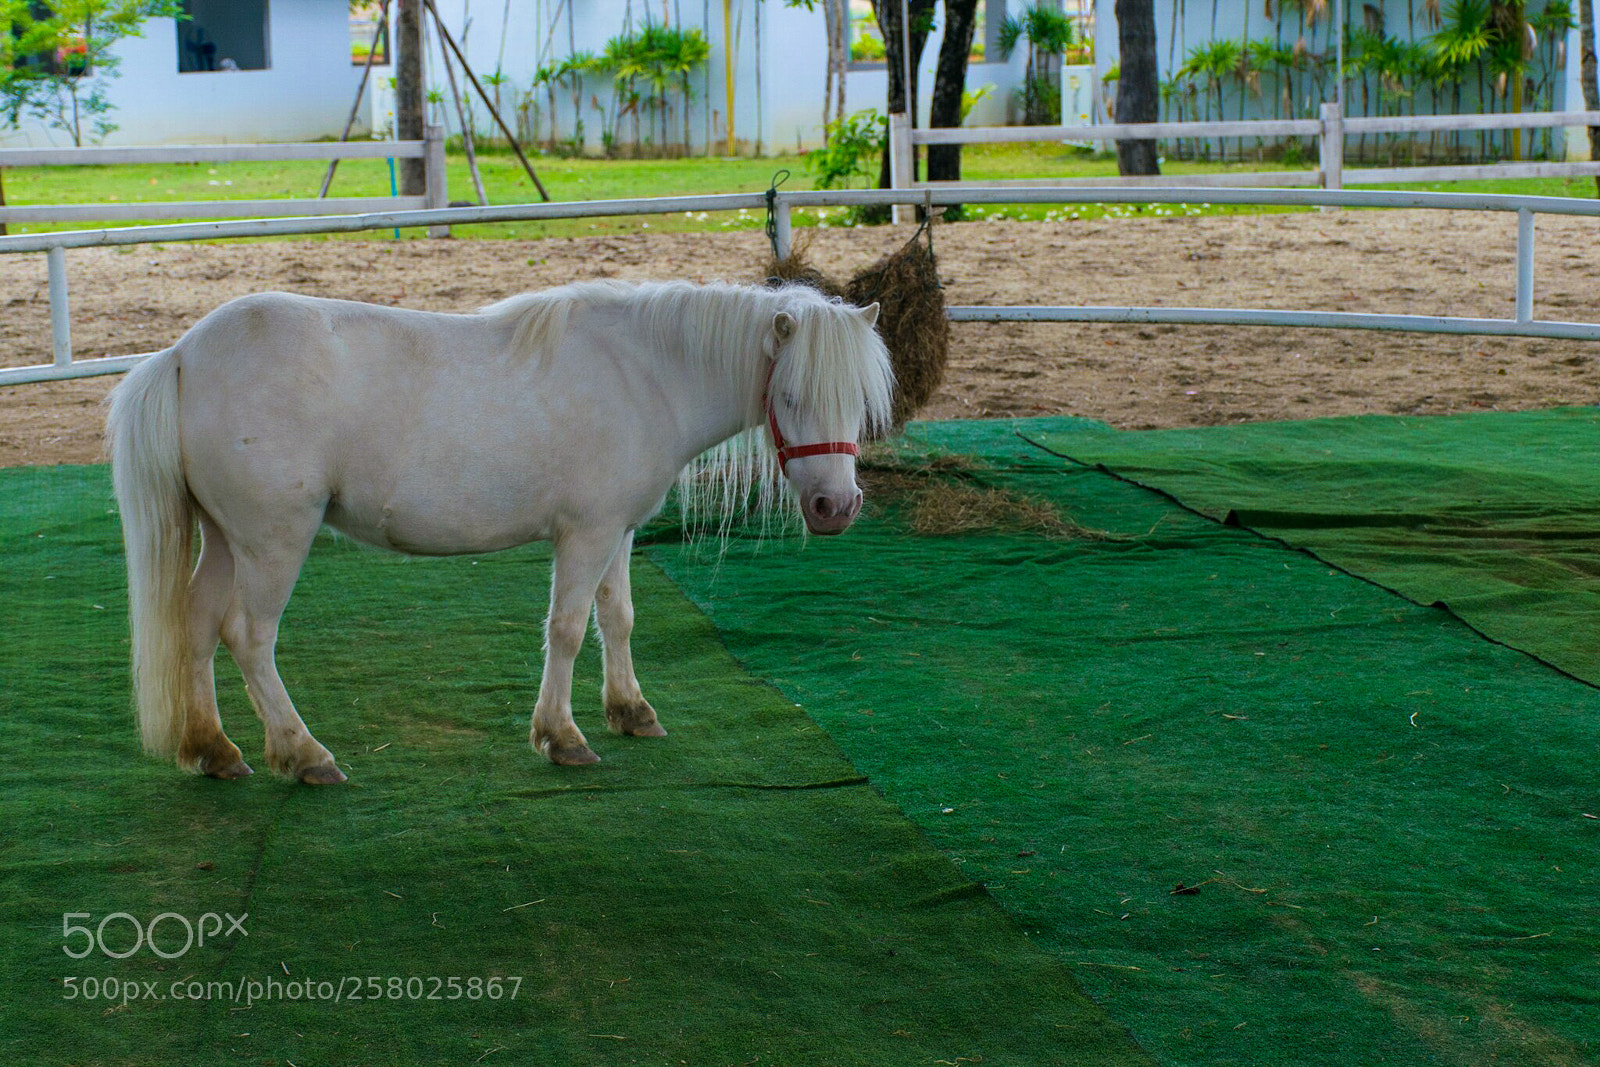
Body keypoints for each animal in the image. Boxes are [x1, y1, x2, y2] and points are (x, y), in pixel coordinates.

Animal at [105, 280, 893, 784]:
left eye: (859, 397)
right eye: (789, 394)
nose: (836, 507)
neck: (644, 374)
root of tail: (180, 355)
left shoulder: (618, 531)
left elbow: (618, 617)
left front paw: (630, 710)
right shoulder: (585, 533)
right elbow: (567, 628)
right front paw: (561, 736)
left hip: (225, 540)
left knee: (197, 625)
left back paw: (213, 749)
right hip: (273, 541)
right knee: (248, 635)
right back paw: (303, 755)